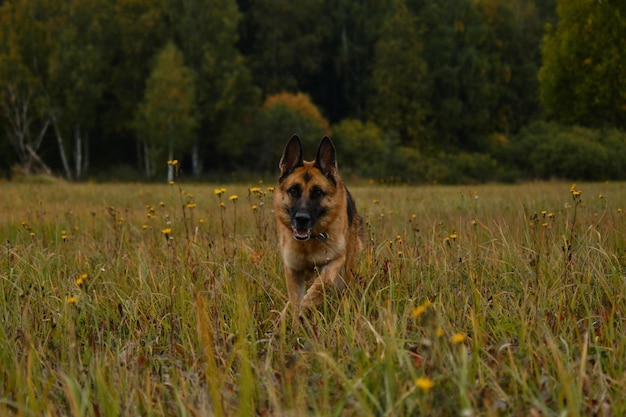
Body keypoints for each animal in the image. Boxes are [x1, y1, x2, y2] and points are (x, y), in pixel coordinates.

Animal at [272, 135, 360, 320]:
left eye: (317, 192)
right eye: (293, 190)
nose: (302, 219)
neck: (309, 243)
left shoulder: (336, 260)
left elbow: (323, 284)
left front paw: (307, 305)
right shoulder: (293, 269)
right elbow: (295, 300)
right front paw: (296, 318)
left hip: (346, 269)